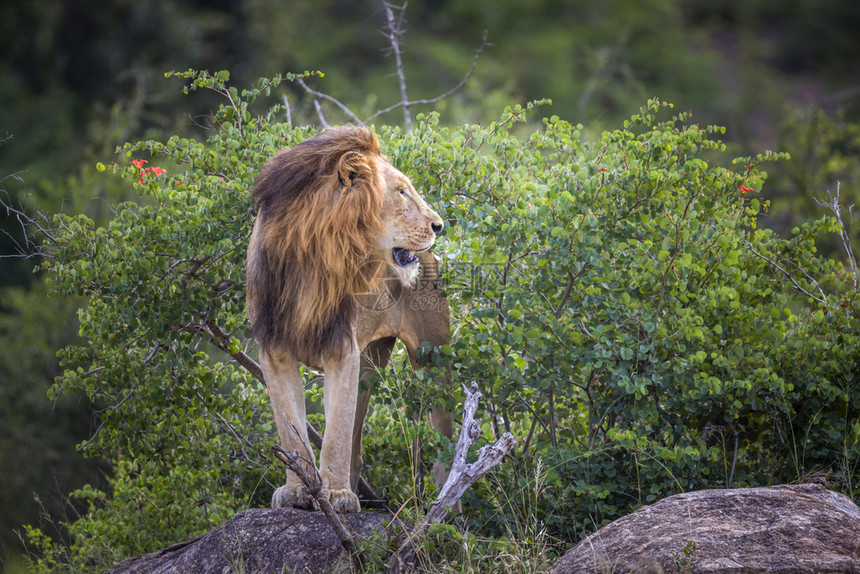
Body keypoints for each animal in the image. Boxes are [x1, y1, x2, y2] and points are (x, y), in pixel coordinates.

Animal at [245, 126, 454, 512]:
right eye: (401, 191)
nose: (439, 225)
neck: (314, 258)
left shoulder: (343, 349)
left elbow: (336, 435)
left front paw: (338, 495)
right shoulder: (274, 350)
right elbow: (290, 428)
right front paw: (298, 492)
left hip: (433, 360)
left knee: (445, 451)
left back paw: (450, 512)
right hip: (369, 365)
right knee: (356, 447)